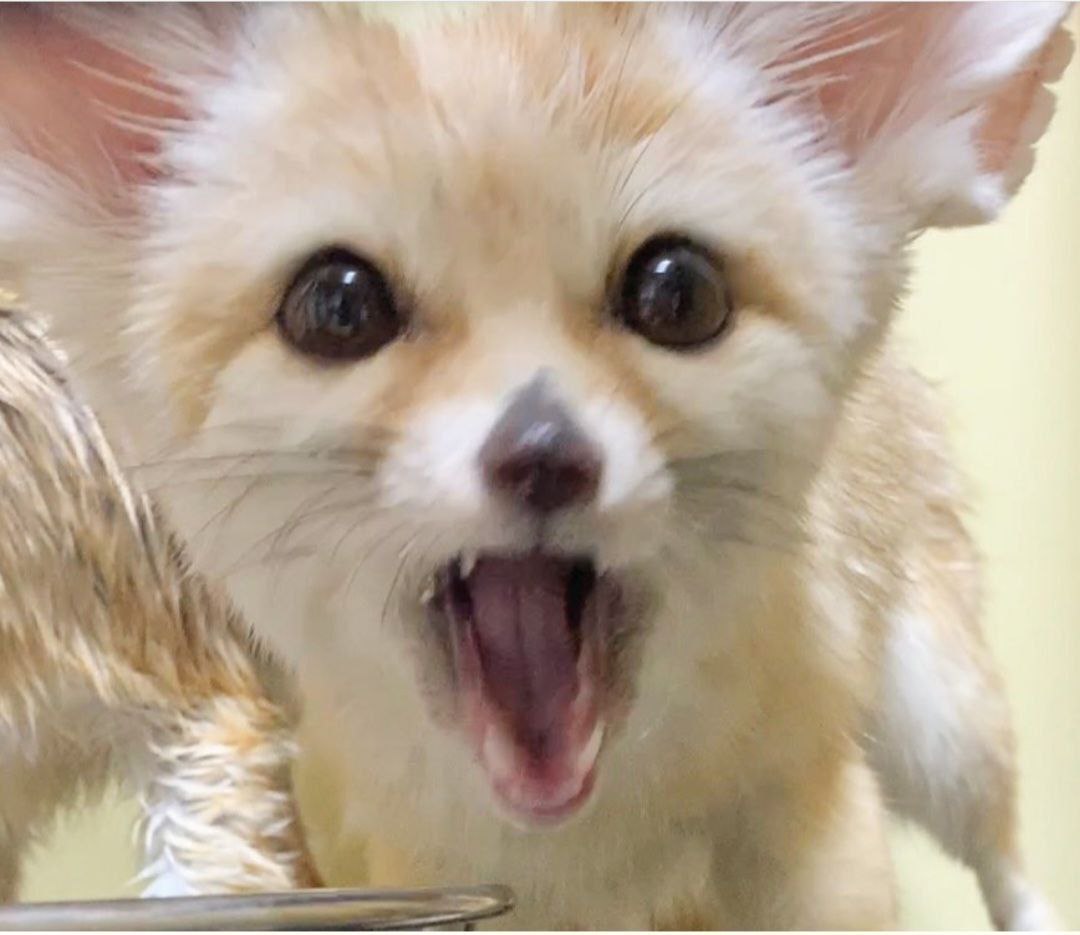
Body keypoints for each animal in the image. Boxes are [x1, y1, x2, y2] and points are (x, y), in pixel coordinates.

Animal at [0, 3, 1073, 928]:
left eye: (680, 292)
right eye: (335, 306)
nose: (546, 452)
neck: (592, 832)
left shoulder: (817, 842)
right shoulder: (449, 877)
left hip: (944, 724)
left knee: (1003, 851)